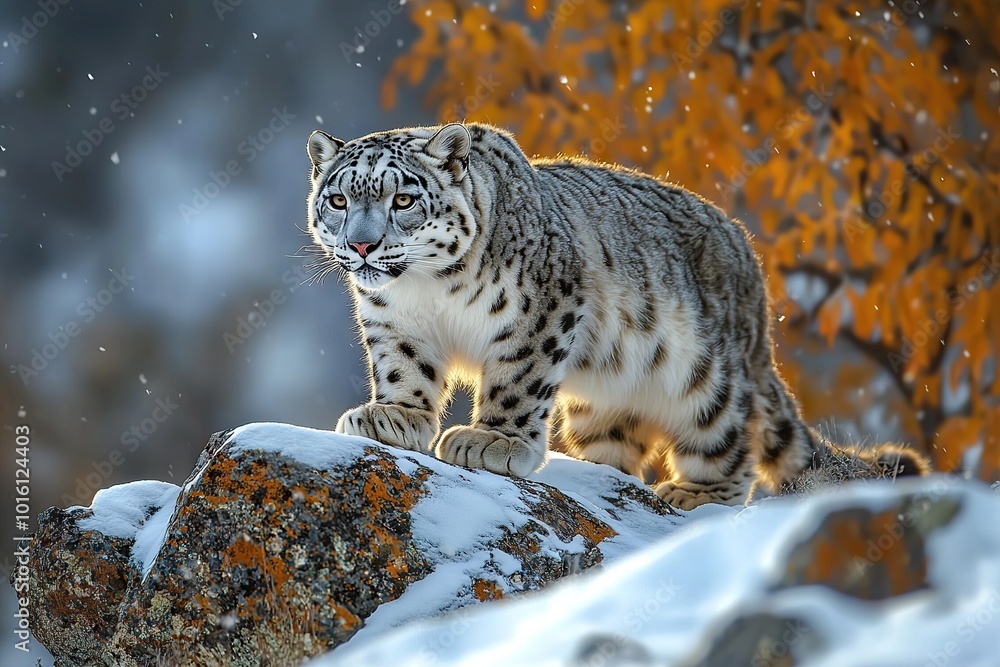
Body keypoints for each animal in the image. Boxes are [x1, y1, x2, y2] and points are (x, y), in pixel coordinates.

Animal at [304, 122, 929, 510]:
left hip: (708, 383)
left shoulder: (540, 310)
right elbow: (404, 370)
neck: (426, 291)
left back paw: (697, 494)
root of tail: (749, 266)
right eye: (338, 200)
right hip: (602, 403)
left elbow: (516, 382)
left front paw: (494, 441)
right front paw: (392, 418)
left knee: (733, 444)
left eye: (403, 199)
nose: (362, 245)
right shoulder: (393, 324)